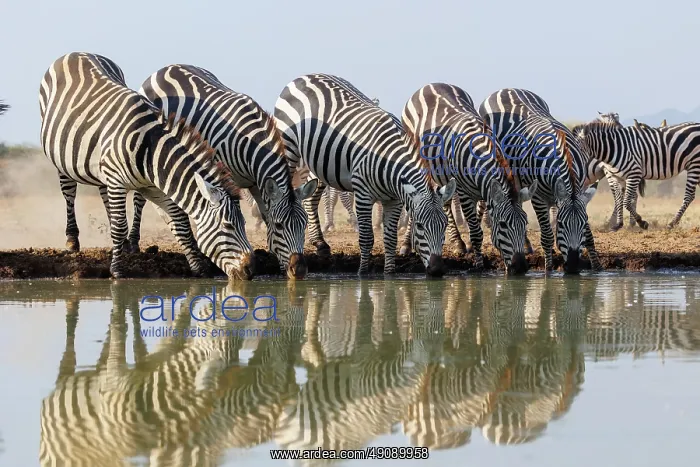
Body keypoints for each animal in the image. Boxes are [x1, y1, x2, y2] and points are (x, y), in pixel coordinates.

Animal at [39, 52, 255, 280]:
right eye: (228, 226)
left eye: (244, 224)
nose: (250, 270)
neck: (150, 150)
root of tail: (78, 52)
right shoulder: (117, 181)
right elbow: (120, 225)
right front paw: (117, 270)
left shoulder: (153, 187)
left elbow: (181, 223)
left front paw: (198, 267)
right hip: (62, 160)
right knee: (69, 195)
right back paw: (72, 240)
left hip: (101, 167)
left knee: (104, 197)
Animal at [131, 64, 318, 279]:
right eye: (280, 225)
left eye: (304, 224)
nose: (300, 270)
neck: (250, 142)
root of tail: (166, 68)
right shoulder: (226, 177)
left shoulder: (257, 183)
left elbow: (265, 214)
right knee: (139, 197)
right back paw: (133, 244)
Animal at [274, 74, 456, 276]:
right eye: (419, 226)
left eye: (445, 225)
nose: (437, 270)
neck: (389, 160)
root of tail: (305, 76)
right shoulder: (362, 194)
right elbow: (367, 238)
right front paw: (362, 273)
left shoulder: (394, 200)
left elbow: (390, 238)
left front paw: (389, 274)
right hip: (289, 147)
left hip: (319, 162)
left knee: (310, 199)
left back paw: (320, 244)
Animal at [398, 83, 537, 275]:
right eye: (503, 225)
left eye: (525, 224)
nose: (521, 267)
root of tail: (432, 84)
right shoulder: (464, 192)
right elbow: (477, 233)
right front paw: (479, 266)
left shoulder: (485, 191)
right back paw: (407, 245)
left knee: (445, 202)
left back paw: (458, 243)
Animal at [479, 89, 601, 273]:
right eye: (561, 224)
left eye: (582, 222)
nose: (573, 266)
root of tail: (507, 89)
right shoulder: (538, 198)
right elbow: (547, 236)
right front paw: (548, 270)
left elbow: (589, 236)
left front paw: (597, 268)